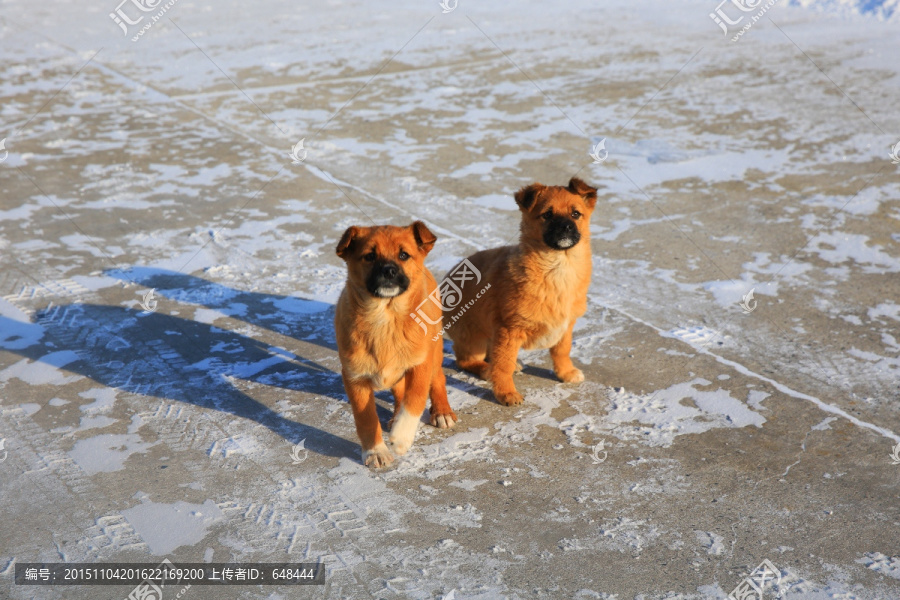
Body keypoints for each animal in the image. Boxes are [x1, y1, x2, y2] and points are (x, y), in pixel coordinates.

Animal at [334, 221, 458, 468]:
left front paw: (401, 438)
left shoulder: (421, 364)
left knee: (438, 378)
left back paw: (442, 412)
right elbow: (366, 418)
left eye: (403, 255)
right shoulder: (354, 377)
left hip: (435, 350)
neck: (386, 317)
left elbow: (415, 398)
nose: (389, 271)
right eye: (370, 256)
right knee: (400, 390)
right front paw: (375, 451)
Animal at [442, 176, 596, 406]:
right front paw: (506, 393)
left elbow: (562, 350)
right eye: (547, 215)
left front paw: (565, 373)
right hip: (474, 337)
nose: (566, 227)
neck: (557, 267)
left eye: (575, 214)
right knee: (465, 359)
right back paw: (486, 369)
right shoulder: (509, 329)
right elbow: (503, 365)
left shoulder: (566, 327)